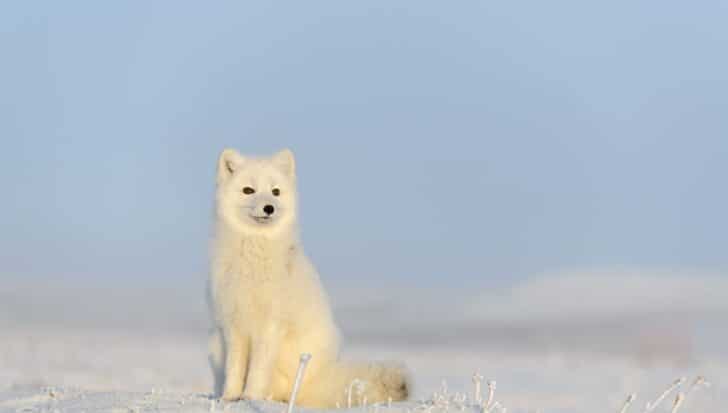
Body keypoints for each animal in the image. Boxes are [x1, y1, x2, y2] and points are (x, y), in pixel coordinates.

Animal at [208, 148, 410, 406]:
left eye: (275, 191)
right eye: (248, 190)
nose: (269, 207)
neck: (254, 257)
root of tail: (319, 383)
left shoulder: (270, 325)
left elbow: (257, 370)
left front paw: (251, 397)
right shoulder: (232, 323)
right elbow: (234, 368)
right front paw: (230, 397)